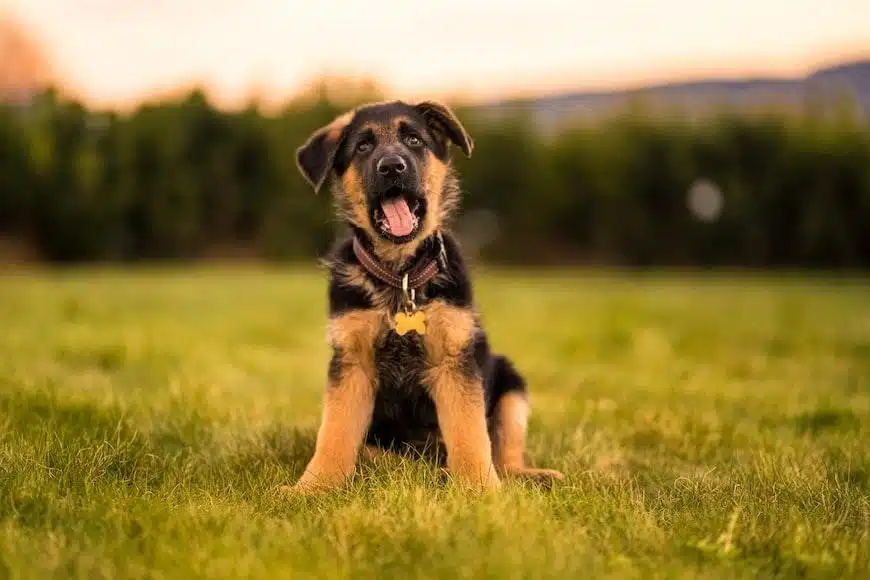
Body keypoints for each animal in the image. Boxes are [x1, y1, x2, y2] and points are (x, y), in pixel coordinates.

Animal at [282, 99, 564, 494]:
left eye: (414, 140)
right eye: (363, 147)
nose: (391, 166)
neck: (400, 275)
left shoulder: (454, 362)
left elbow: (470, 434)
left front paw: (481, 490)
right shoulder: (352, 364)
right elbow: (334, 434)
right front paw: (313, 488)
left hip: (512, 386)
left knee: (504, 456)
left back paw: (526, 475)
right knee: (381, 457)